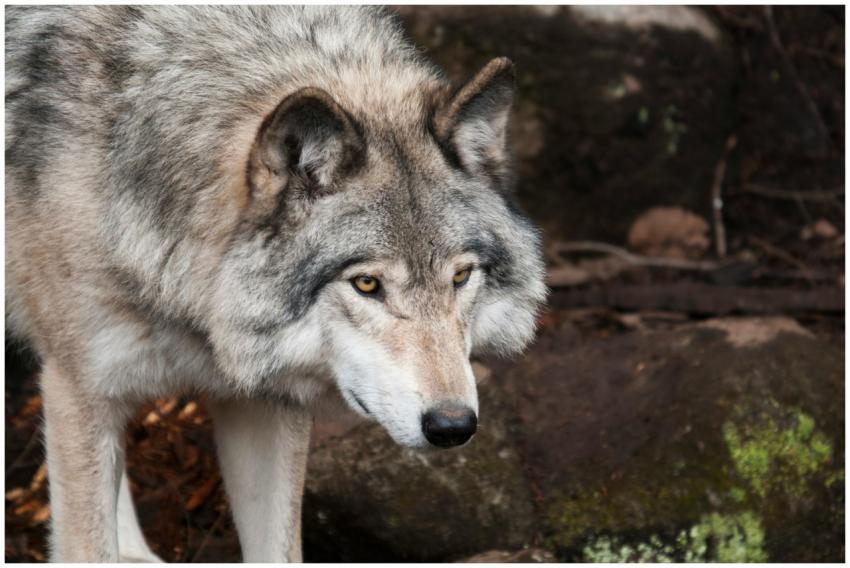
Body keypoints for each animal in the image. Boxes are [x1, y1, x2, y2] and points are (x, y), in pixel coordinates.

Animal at [5, 5, 546, 562]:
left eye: (460, 276)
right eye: (367, 284)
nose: (453, 425)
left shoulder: (266, 403)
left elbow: (279, 549)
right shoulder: (78, 389)